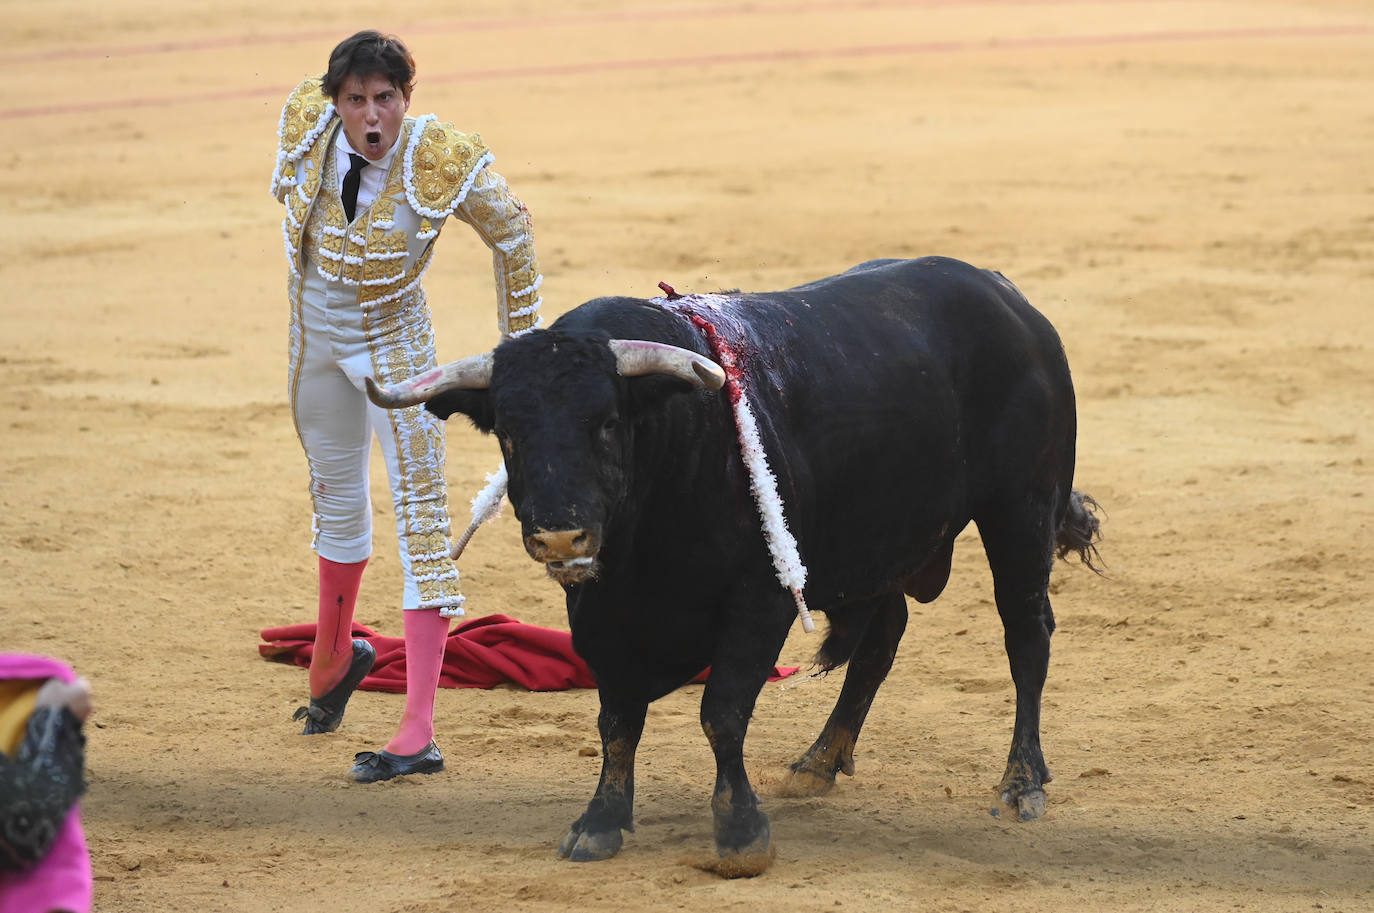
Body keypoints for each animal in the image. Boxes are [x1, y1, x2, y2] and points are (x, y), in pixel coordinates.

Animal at [368, 257, 1104, 869]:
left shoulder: (760, 599)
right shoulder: (599, 611)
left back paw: (1021, 782)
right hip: (874, 546)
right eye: (509, 433)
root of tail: (1010, 299)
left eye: (606, 422)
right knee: (883, 635)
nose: (560, 538)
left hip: (1020, 512)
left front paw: (740, 831)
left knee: (1027, 634)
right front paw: (599, 821)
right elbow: (616, 719)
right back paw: (820, 760)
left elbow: (720, 711)